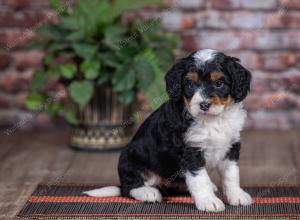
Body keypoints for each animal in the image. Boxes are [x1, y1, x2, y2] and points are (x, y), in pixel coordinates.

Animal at [85, 49, 253, 211]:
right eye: (190, 84)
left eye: (219, 83)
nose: (204, 105)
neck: (213, 120)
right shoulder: (190, 151)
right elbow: (200, 179)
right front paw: (208, 201)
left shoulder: (231, 146)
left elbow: (231, 174)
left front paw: (236, 195)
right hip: (130, 158)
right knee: (129, 188)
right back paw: (148, 192)